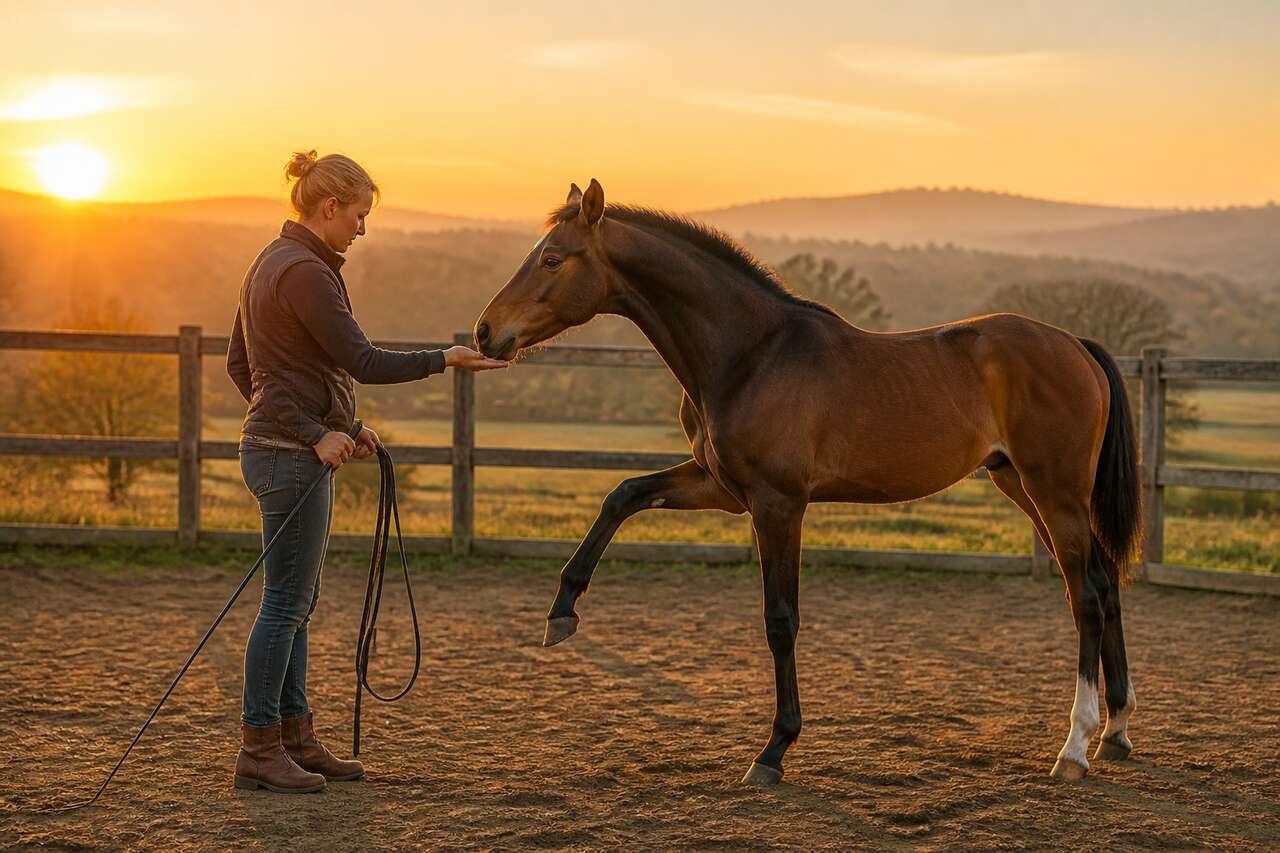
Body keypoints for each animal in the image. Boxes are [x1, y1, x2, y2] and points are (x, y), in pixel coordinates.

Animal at [473, 179, 1141, 786]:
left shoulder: (778, 503)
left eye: (553, 257)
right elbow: (624, 495)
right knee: (1104, 583)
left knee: (1084, 596)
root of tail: (1074, 344)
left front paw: (774, 750)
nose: (484, 333)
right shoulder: (720, 488)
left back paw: (1074, 748)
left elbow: (780, 619)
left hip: (1054, 493)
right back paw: (1116, 731)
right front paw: (562, 611)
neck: (751, 354)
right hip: (1023, 488)